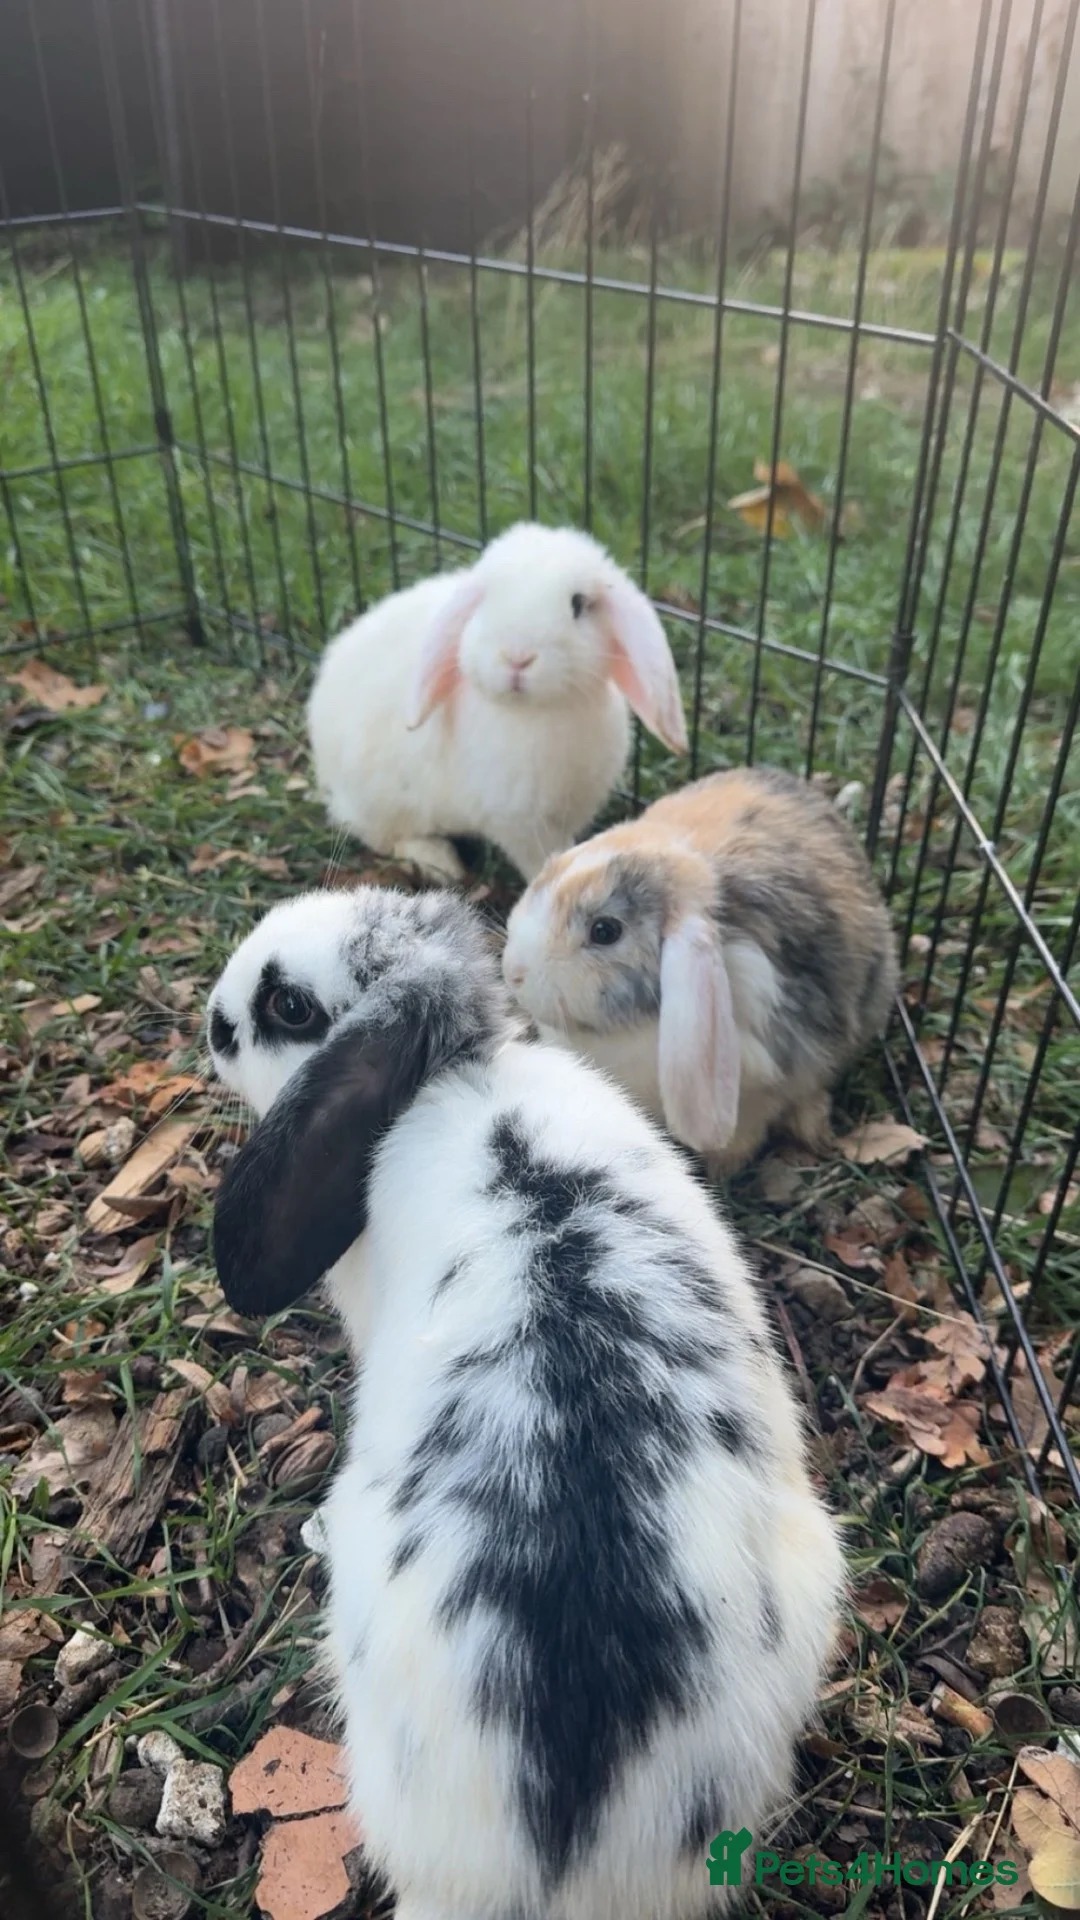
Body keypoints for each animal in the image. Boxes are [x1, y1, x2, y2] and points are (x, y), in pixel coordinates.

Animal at [306, 522, 688, 886]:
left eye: (578, 604)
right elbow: (541, 858)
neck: (535, 712)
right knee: (387, 836)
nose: (517, 657)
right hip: (383, 803)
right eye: (484, 602)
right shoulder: (518, 820)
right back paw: (439, 862)